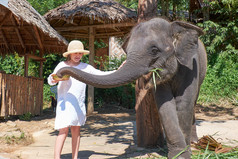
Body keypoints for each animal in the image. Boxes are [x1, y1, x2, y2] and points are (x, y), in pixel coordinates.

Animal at [56, 17, 207, 158]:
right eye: (127, 51)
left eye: (154, 50)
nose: (59, 73)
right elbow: (165, 105)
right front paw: (178, 154)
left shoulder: (191, 66)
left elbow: (184, 104)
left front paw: (183, 155)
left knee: (193, 101)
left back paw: (194, 141)